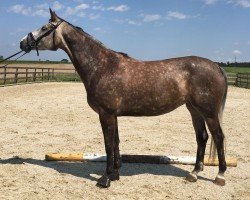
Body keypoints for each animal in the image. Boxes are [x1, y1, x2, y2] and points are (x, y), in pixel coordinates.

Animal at [20, 9, 229, 188]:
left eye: (45, 28)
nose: (22, 42)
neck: (103, 66)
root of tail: (216, 66)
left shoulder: (106, 114)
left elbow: (108, 145)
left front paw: (105, 179)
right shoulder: (113, 115)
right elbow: (116, 143)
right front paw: (114, 174)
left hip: (209, 112)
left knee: (218, 137)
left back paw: (220, 175)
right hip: (194, 110)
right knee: (202, 137)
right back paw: (194, 173)